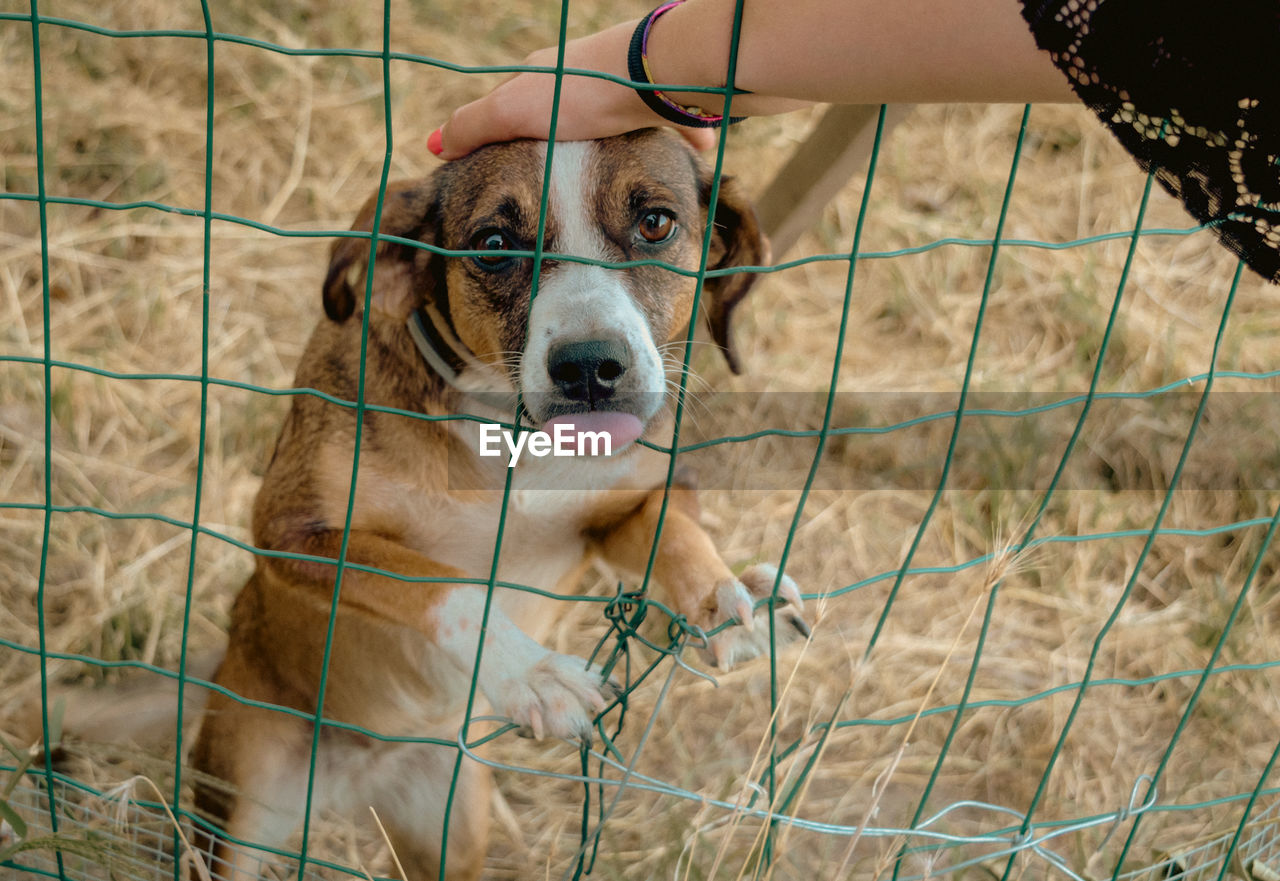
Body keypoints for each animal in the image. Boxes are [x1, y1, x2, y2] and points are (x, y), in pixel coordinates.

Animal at [189, 130, 808, 881]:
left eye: (656, 223)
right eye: (492, 243)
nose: (589, 366)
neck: (515, 438)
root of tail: (352, 777)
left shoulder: (627, 504)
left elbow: (676, 533)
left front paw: (726, 601)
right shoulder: (292, 531)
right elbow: (445, 585)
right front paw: (531, 672)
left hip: (451, 833)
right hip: (237, 812)